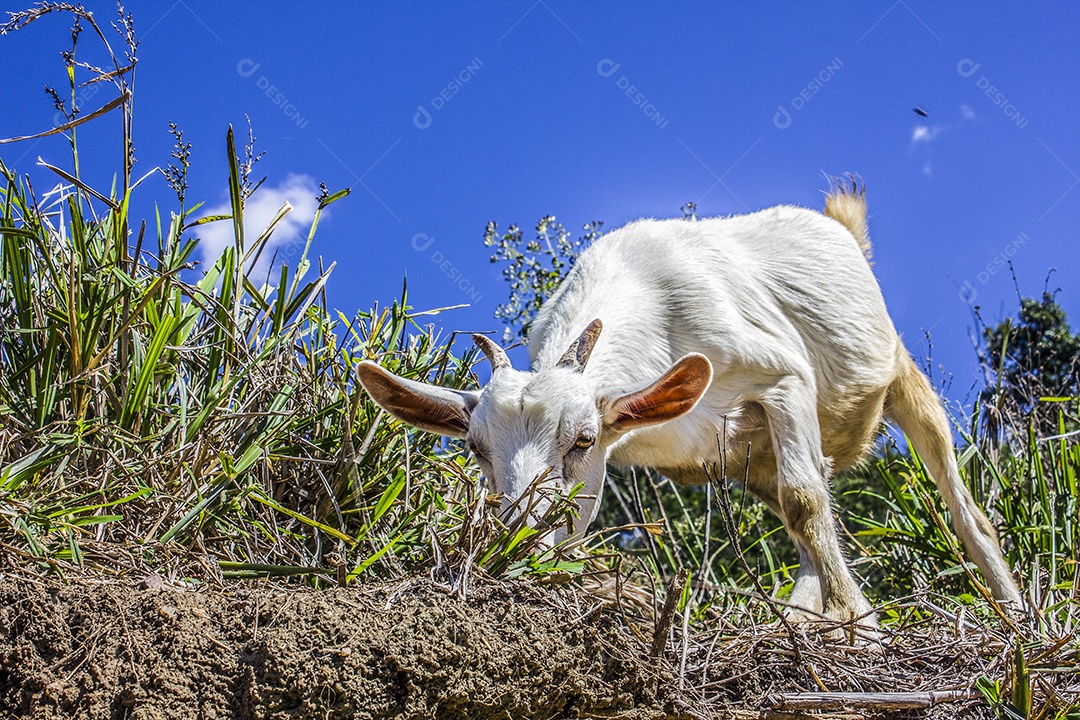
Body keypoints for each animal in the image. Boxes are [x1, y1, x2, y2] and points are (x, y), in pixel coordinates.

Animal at [360, 183, 1019, 626]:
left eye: (582, 441)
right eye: (475, 449)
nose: (516, 542)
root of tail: (842, 228)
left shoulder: (782, 378)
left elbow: (807, 502)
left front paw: (863, 626)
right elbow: (803, 512)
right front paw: (843, 619)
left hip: (900, 373)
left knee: (960, 505)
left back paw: (1018, 617)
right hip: (752, 458)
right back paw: (802, 616)